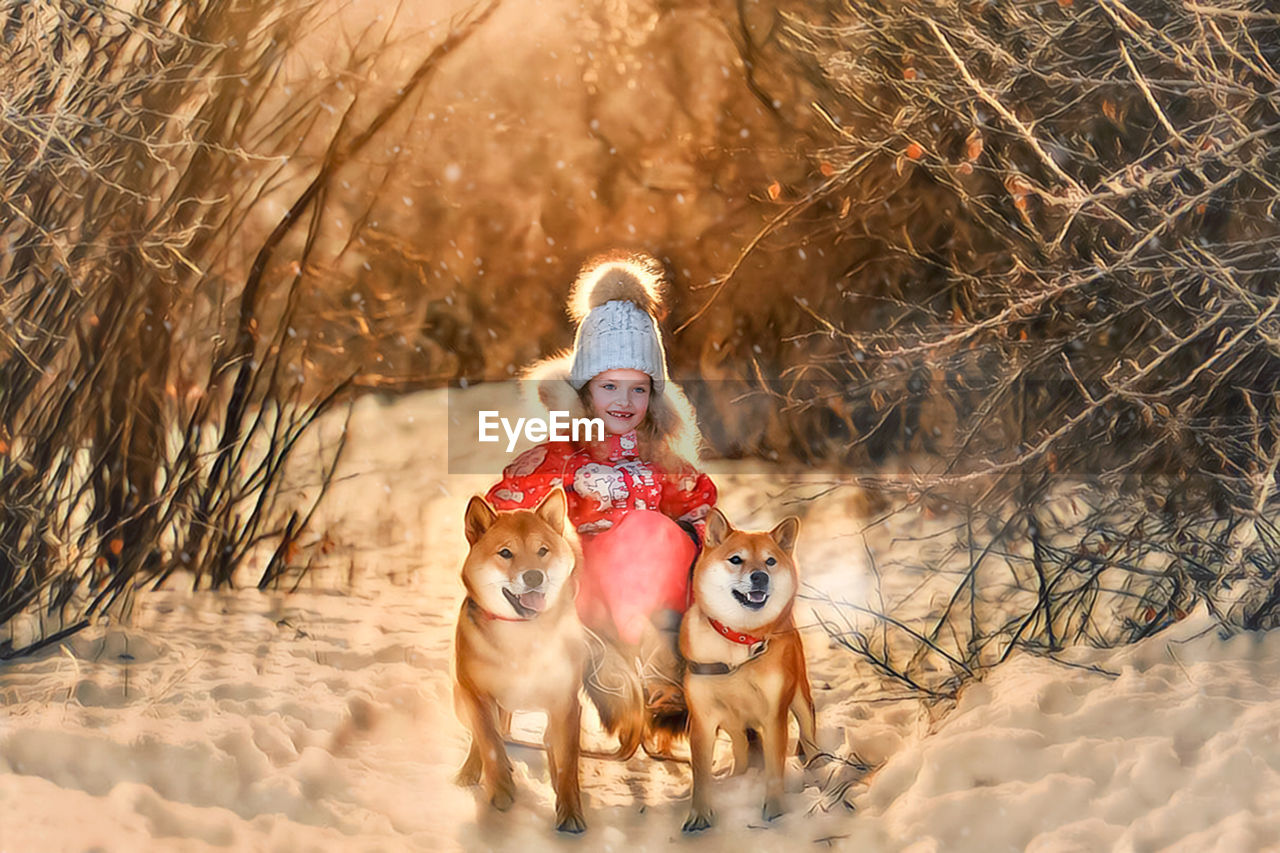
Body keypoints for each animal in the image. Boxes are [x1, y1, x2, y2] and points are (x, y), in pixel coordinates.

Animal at [680, 504, 819, 829]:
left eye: (770, 561)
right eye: (736, 559)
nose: (759, 577)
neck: (738, 641)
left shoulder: (774, 714)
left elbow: (774, 771)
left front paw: (776, 810)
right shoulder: (702, 718)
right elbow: (700, 774)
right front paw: (700, 814)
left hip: (800, 698)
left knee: (809, 735)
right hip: (731, 721)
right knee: (741, 747)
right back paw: (737, 777)